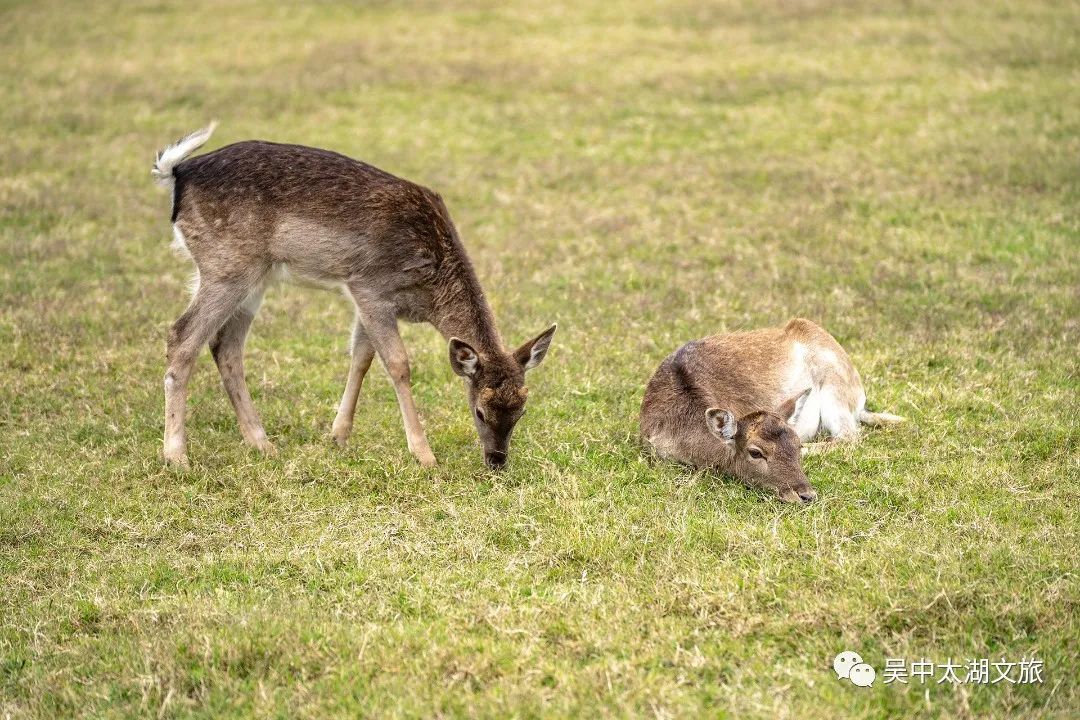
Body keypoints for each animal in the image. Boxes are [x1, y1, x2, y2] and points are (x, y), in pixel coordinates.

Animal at [152, 124, 557, 470]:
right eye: (479, 411)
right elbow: (398, 364)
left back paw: (262, 443)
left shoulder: (364, 296)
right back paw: (177, 455)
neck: (428, 292)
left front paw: (338, 436)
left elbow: (362, 357)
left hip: (254, 278)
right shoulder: (371, 287)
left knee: (225, 345)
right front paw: (424, 455)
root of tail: (177, 173)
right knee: (182, 337)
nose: (497, 461)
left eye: (522, 410)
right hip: (226, 266)